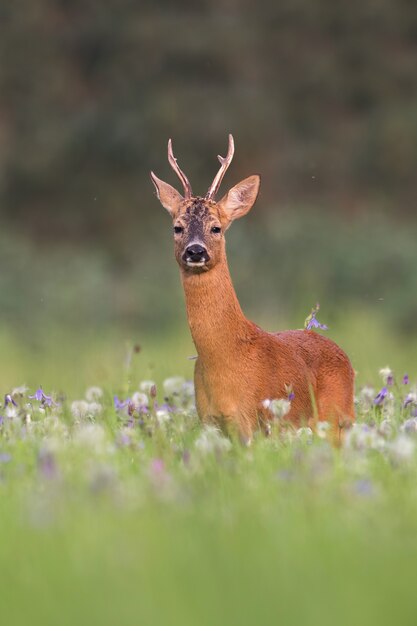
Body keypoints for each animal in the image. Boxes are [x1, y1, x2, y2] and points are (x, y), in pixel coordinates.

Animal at [151, 134, 352, 442]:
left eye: (216, 228)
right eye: (177, 227)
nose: (195, 251)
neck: (227, 356)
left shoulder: (249, 421)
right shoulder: (209, 421)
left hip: (335, 419)